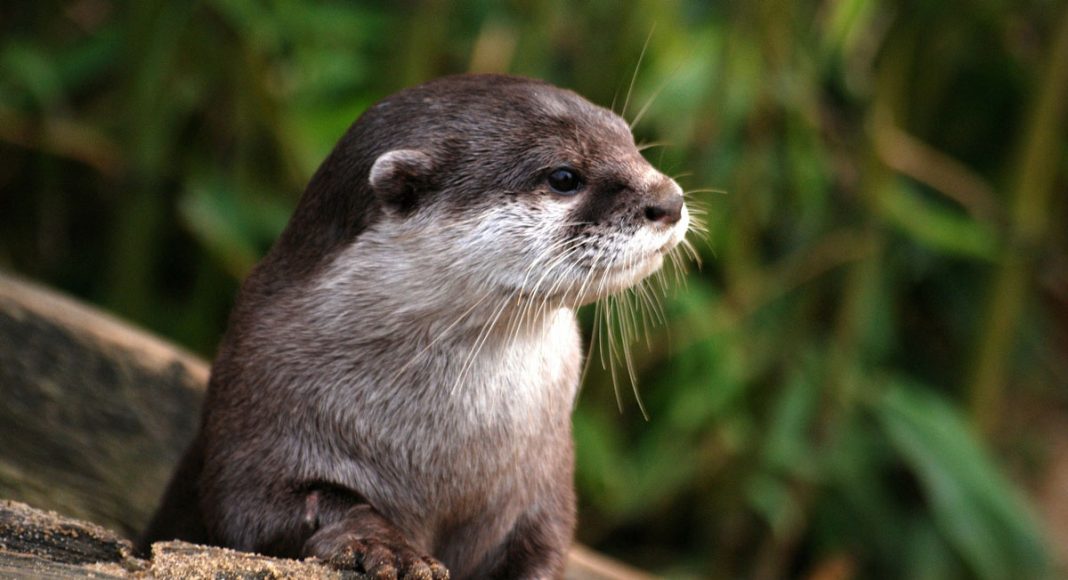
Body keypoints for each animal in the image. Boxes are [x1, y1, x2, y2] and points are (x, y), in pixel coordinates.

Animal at [140, 74, 689, 579]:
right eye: (563, 176)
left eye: (629, 141)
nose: (670, 200)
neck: (444, 450)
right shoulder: (254, 414)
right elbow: (262, 509)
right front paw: (385, 546)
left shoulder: (544, 487)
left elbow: (545, 546)